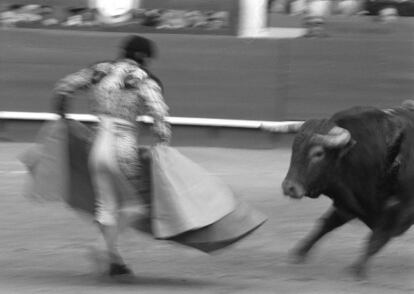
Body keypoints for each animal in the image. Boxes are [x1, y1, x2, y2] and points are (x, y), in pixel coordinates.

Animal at [262, 105, 414, 278]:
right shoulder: (347, 204)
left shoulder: (401, 212)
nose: (289, 187)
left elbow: (377, 239)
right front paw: (299, 253)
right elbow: (325, 225)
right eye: (294, 149)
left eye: (318, 153)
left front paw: (357, 269)